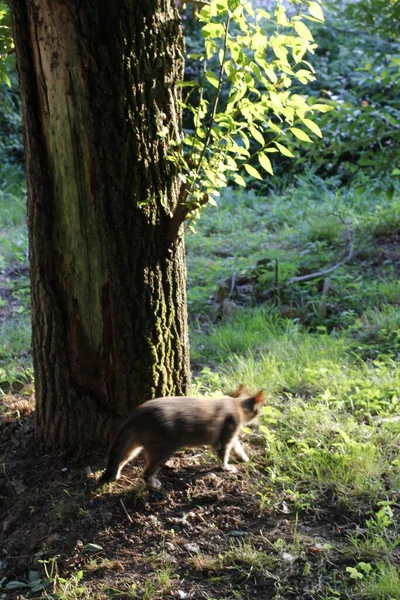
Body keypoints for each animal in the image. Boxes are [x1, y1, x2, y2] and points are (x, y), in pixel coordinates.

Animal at [98, 386, 264, 490]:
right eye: (260, 408)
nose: (259, 418)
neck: (236, 405)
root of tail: (137, 414)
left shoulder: (232, 437)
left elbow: (238, 448)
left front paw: (244, 458)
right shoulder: (226, 436)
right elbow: (224, 455)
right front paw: (227, 467)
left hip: (133, 447)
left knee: (120, 460)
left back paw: (116, 475)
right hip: (163, 449)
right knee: (146, 472)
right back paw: (154, 484)